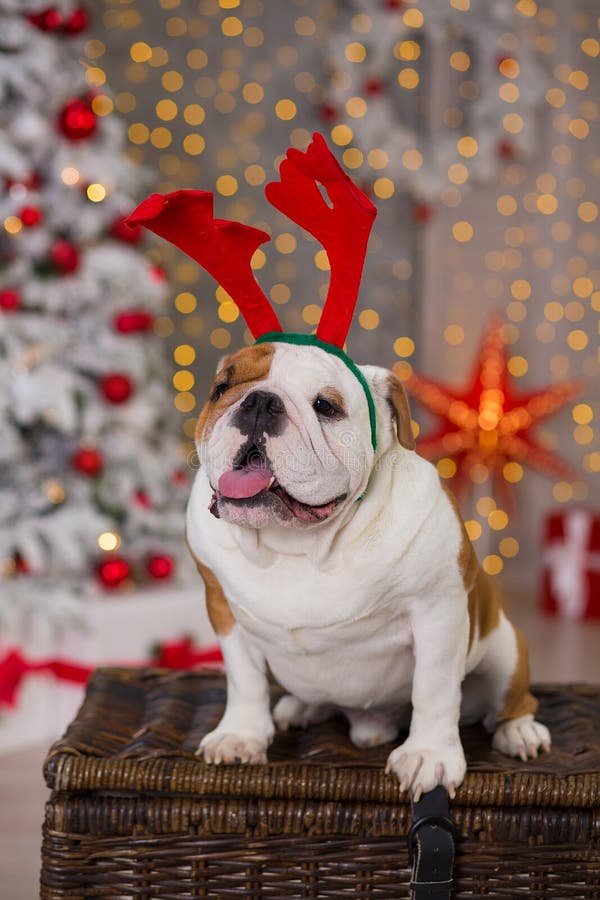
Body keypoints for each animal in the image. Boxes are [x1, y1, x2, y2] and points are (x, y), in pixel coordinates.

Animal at [185, 342, 552, 800]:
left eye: (325, 406)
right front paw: (240, 735)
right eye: (222, 388)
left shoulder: (438, 611)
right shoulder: (223, 609)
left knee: (513, 703)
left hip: (507, 652)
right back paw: (301, 707)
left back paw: (520, 732)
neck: (299, 545)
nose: (259, 402)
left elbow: (433, 689)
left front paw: (428, 755)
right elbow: (244, 679)